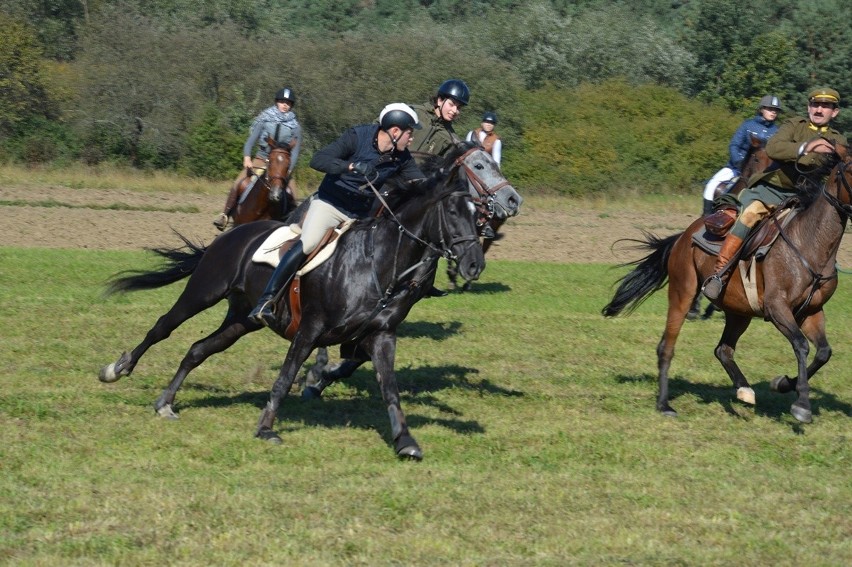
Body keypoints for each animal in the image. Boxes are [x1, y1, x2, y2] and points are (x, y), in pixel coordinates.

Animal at [604, 144, 848, 424]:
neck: (808, 243)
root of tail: (683, 236)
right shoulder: (778, 309)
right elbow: (801, 345)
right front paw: (802, 405)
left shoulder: (811, 311)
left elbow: (823, 352)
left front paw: (785, 384)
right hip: (682, 293)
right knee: (666, 347)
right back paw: (664, 404)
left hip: (738, 311)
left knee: (723, 349)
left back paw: (744, 389)